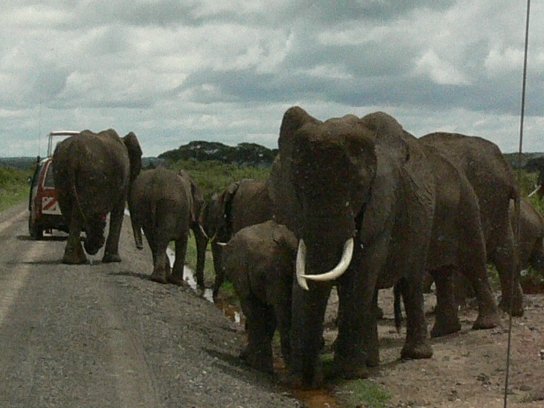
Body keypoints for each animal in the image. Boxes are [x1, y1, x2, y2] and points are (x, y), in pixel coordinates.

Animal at [53, 129, 142, 264]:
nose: (140, 247)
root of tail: (73, 154)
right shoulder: (124, 178)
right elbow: (118, 210)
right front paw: (114, 260)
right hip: (90, 175)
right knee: (81, 211)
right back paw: (75, 260)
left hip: (60, 173)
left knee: (68, 210)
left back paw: (76, 259)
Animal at [221, 220, 297, 374]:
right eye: (261, 275)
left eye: (291, 275)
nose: (290, 370)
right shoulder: (243, 275)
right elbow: (256, 312)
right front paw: (258, 365)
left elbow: (267, 315)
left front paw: (256, 364)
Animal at [268, 106, 436, 386]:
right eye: (298, 187)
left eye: (357, 188)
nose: (307, 379)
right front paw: (302, 380)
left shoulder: (381, 203)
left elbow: (360, 273)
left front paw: (347, 375)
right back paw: (370, 362)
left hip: (424, 224)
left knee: (411, 281)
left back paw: (414, 355)